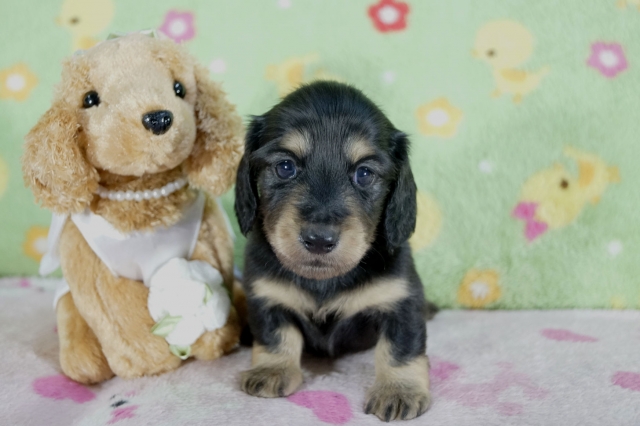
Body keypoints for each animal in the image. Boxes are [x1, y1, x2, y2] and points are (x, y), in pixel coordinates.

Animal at [235, 81, 436, 421]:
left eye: (364, 173)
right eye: (285, 167)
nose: (319, 239)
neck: (324, 282)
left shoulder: (402, 300)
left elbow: (401, 347)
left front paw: (399, 390)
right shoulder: (266, 296)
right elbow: (275, 335)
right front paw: (272, 369)